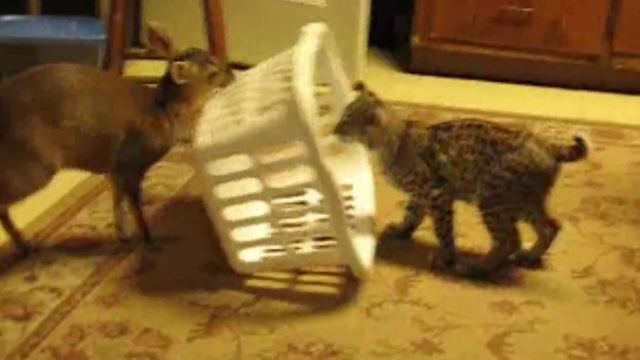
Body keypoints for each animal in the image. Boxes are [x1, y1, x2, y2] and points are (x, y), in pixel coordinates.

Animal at [336, 82, 592, 278]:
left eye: (346, 120)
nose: (333, 129)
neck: (392, 142)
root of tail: (546, 144)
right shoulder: (420, 195)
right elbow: (411, 214)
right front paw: (401, 230)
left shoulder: (438, 194)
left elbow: (443, 231)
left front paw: (446, 257)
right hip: (523, 201)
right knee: (550, 226)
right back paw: (529, 256)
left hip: (493, 199)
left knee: (510, 240)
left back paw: (477, 268)